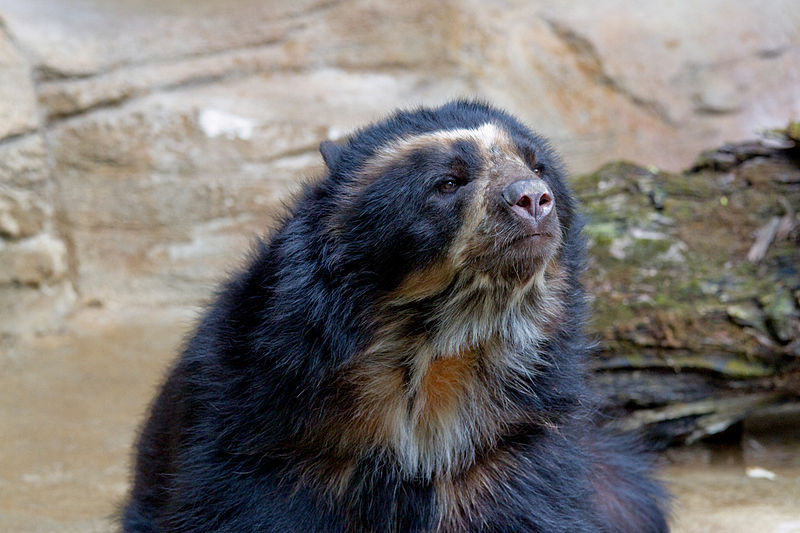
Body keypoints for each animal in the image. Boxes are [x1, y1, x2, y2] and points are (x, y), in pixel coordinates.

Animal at [122, 100, 669, 532]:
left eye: (539, 168)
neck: (435, 349)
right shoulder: (264, 429)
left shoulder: (512, 440)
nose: (533, 199)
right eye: (448, 182)